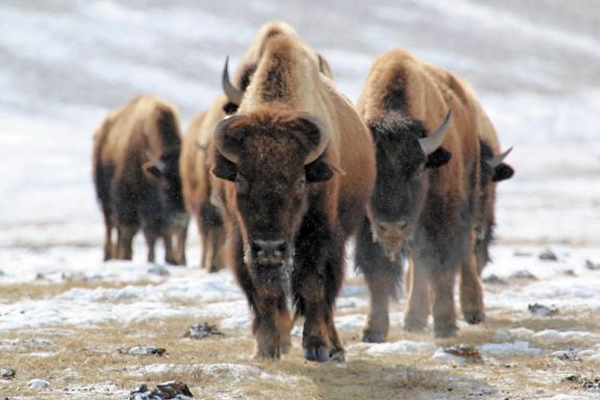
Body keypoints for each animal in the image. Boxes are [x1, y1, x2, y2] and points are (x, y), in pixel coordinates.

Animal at [92, 94, 188, 266]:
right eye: (165, 187)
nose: (181, 218)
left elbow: (162, 233)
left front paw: (170, 259)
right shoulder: (128, 198)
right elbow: (134, 231)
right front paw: (130, 257)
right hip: (104, 197)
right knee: (110, 225)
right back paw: (110, 256)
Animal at [209, 32, 372, 360]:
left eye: (300, 182)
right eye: (241, 179)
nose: (270, 247)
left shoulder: (318, 235)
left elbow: (312, 286)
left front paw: (317, 347)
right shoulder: (241, 239)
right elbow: (262, 290)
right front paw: (267, 346)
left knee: (327, 297)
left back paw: (334, 348)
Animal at [354, 48, 512, 340]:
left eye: (419, 170)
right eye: (371, 173)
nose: (393, 227)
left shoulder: (442, 218)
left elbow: (441, 267)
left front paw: (446, 325)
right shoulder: (366, 228)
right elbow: (378, 274)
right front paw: (373, 332)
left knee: (463, 253)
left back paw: (471, 311)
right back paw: (414, 320)